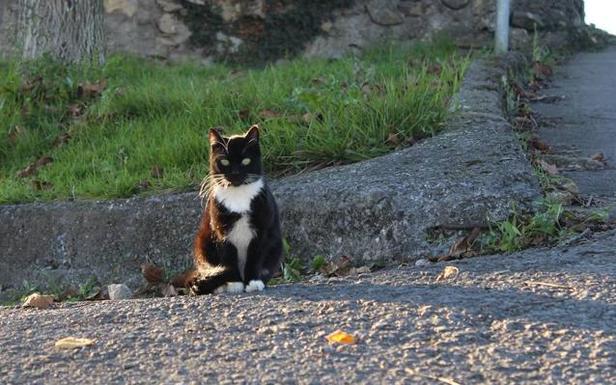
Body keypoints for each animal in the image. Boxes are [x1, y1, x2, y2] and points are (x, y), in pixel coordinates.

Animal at [189, 124, 282, 292]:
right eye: (225, 162)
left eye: (246, 160)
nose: (235, 173)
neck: (238, 196)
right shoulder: (222, 231)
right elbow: (228, 257)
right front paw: (234, 283)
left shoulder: (262, 230)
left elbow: (255, 256)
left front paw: (253, 282)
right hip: (203, 243)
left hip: (276, 246)